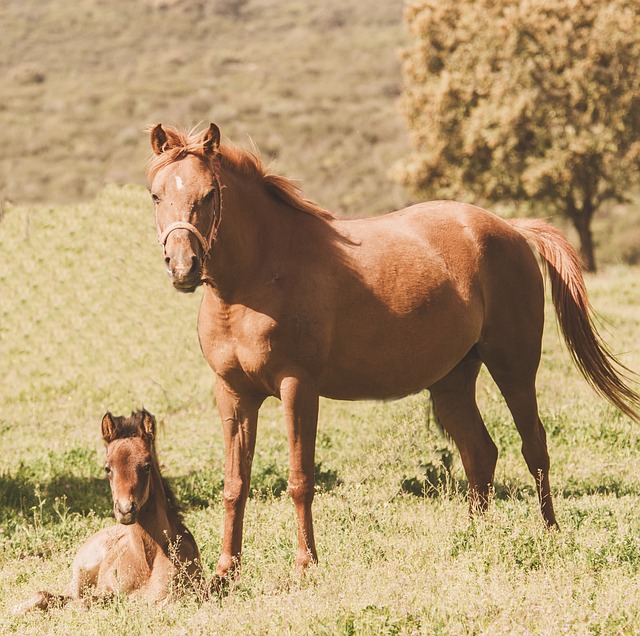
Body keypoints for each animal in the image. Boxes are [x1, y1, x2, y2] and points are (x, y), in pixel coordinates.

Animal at [13, 410, 201, 612]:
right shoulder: (109, 590)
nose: (125, 510)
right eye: (107, 468)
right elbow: (80, 602)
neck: (147, 560)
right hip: (81, 571)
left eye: (147, 466)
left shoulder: (169, 600)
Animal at [146, 123, 640, 580]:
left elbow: (300, 479)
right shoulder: (233, 394)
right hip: (452, 382)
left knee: (534, 447)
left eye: (210, 194)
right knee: (480, 452)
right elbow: (235, 484)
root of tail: (513, 229)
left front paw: (306, 565)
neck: (256, 280)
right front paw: (226, 570)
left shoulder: (297, 388)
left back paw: (549, 534)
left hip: (514, 367)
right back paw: (476, 539)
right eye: (155, 195)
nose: (184, 266)